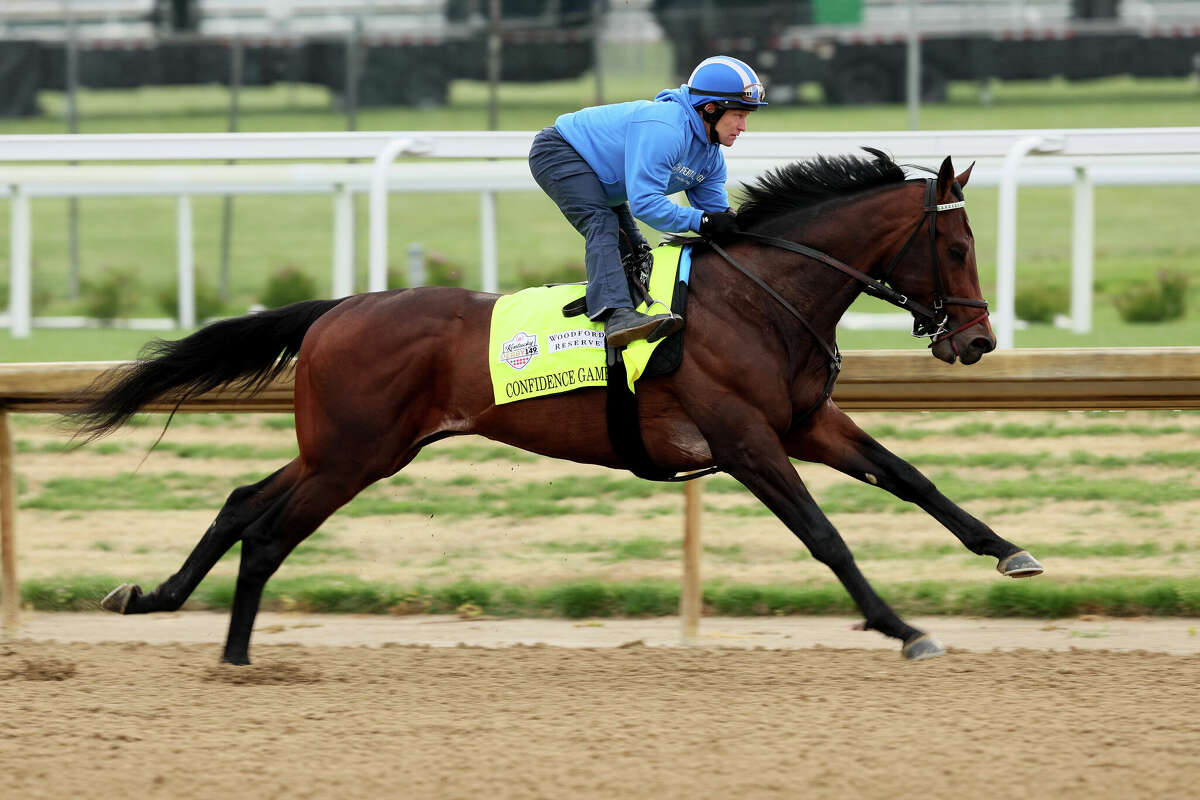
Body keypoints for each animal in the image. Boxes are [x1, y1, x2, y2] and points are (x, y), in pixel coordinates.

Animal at [65, 146, 1041, 666]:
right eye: (958, 245)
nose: (977, 342)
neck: (760, 299)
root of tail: (338, 309)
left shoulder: (805, 423)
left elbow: (912, 480)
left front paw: (1010, 553)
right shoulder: (745, 438)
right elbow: (825, 536)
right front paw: (903, 628)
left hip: (344, 447)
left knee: (240, 504)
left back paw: (152, 600)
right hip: (353, 455)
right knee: (269, 532)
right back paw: (234, 655)